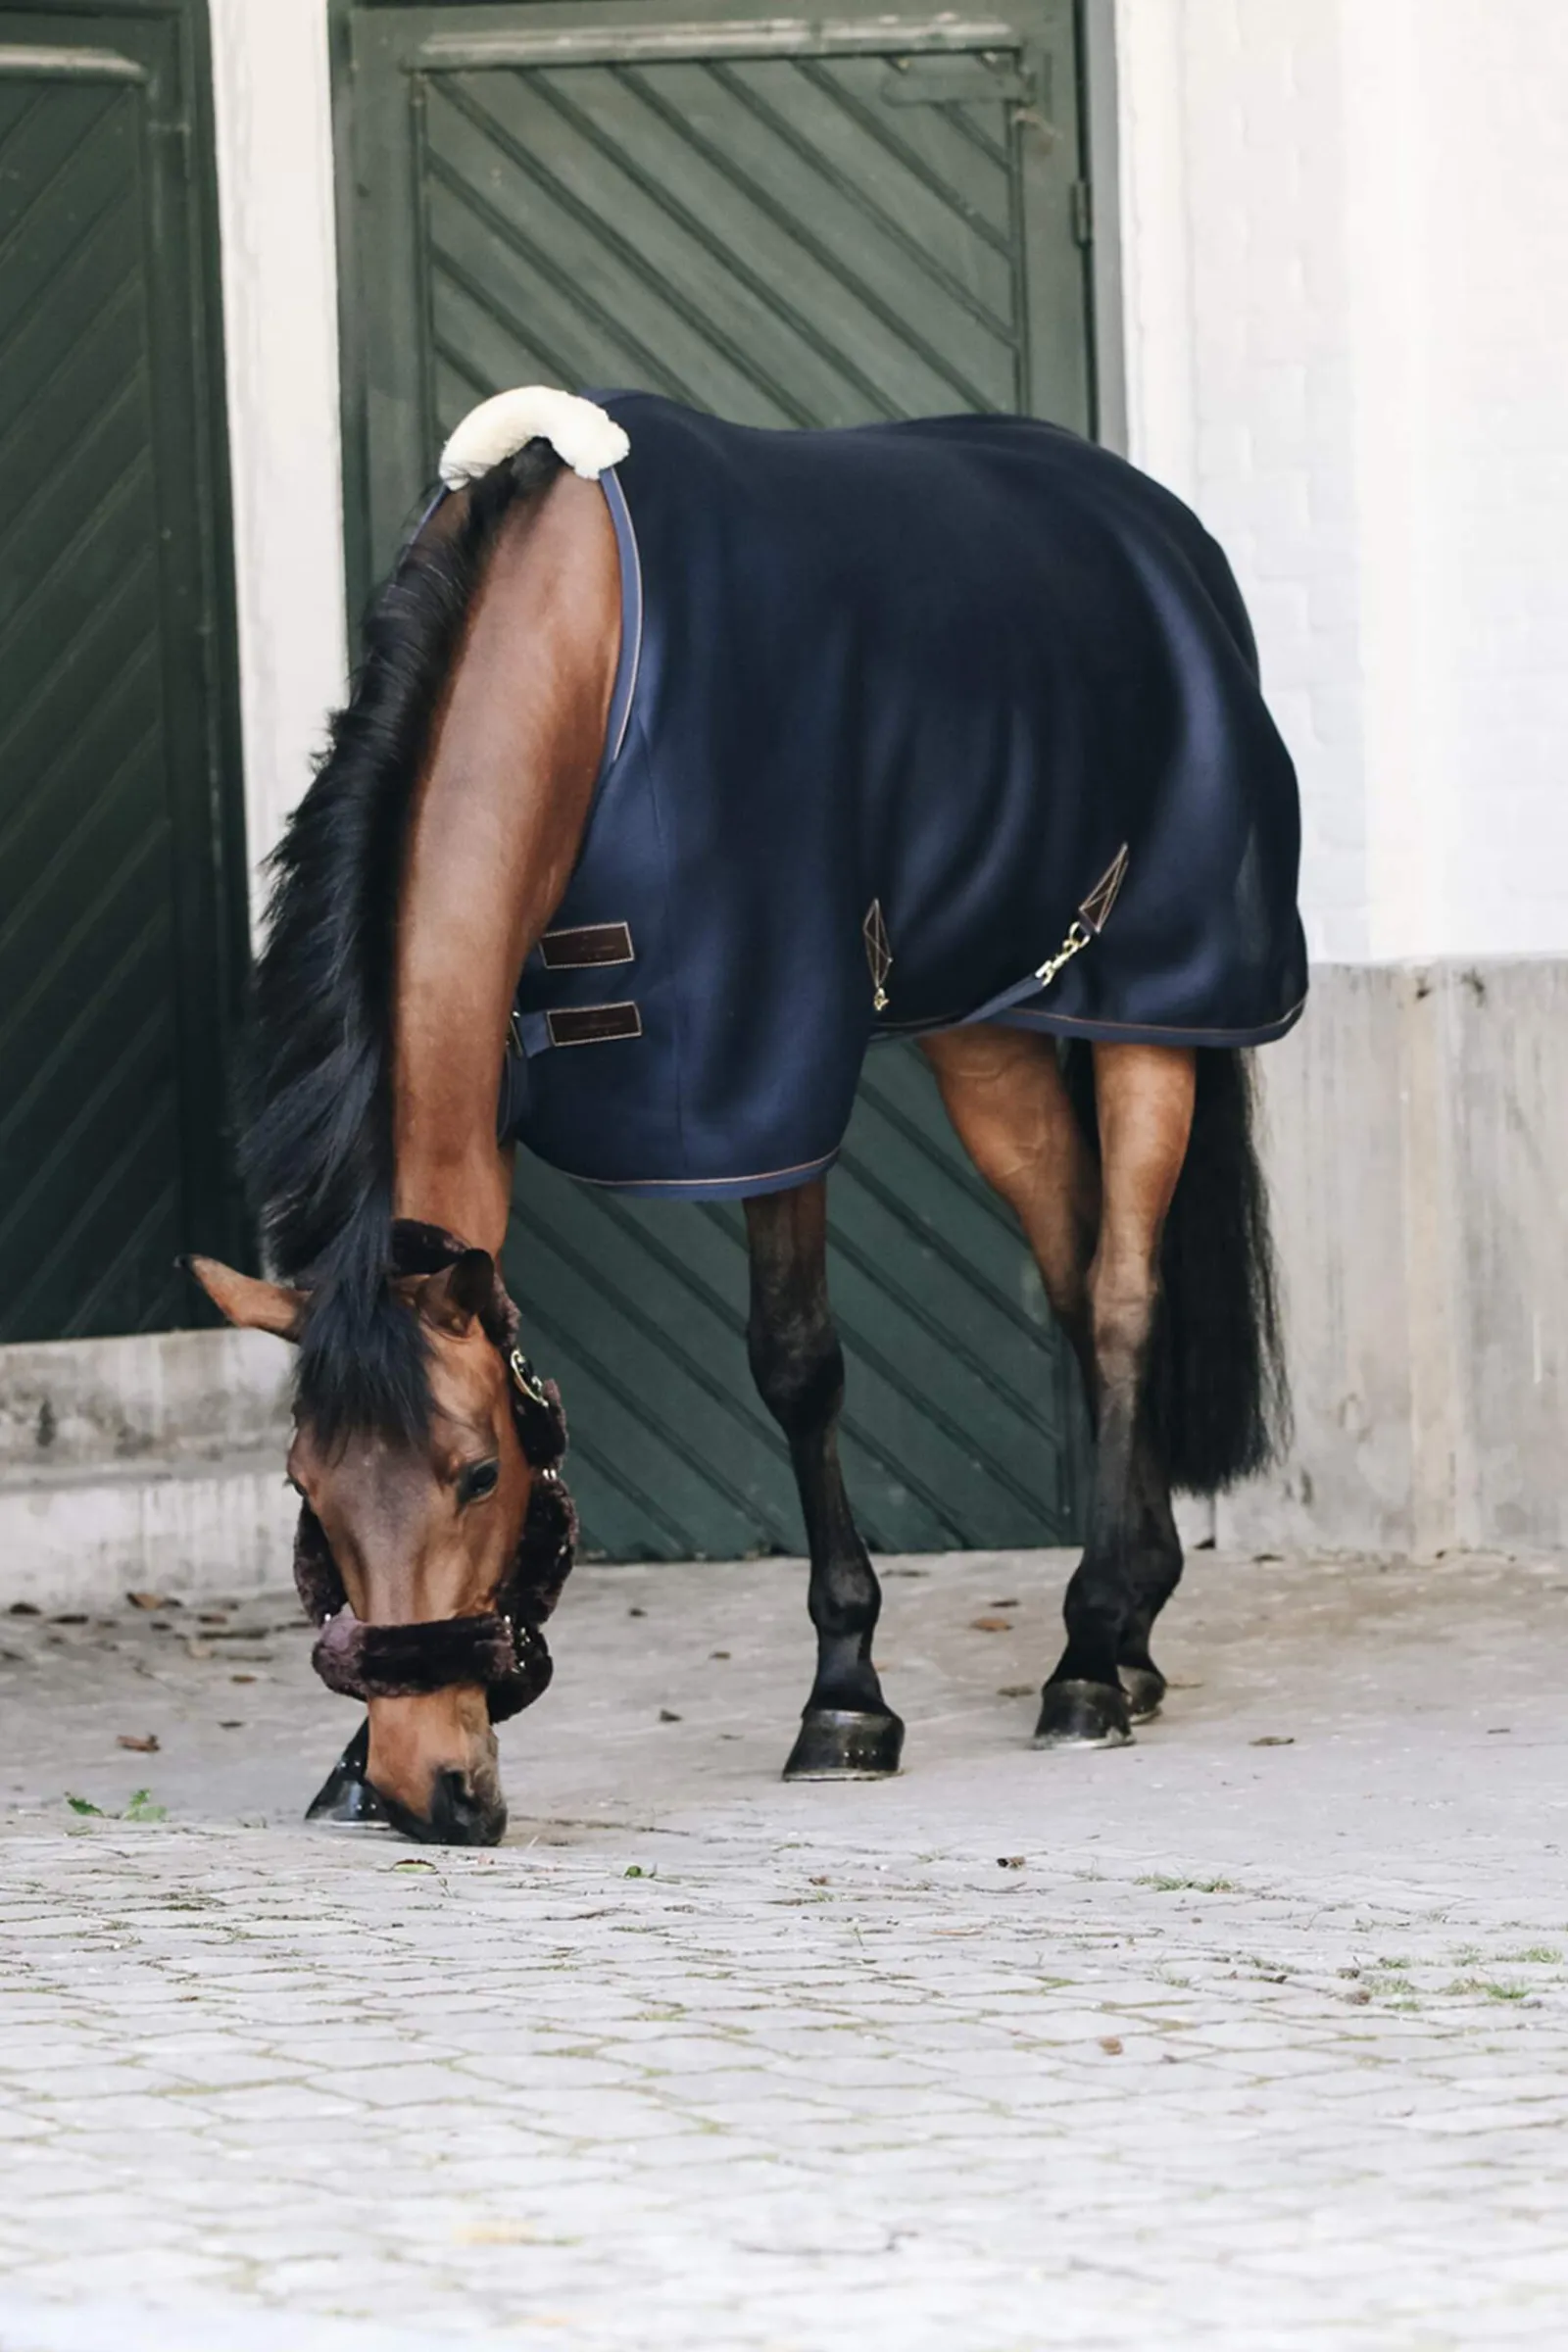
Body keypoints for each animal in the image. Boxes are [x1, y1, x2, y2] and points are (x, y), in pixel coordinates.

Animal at [188, 387, 1302, 1847]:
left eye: (480, 1473)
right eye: (306, 1491)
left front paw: (846, 1698)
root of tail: (1159, 529)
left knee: (1120, 1293)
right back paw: (1131, 1632)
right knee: (1070, 1267)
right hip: (986, 1030)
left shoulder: (769, 1070)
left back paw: (1086, 1657)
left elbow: (796, 1363)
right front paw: (344, 1769)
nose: (430, 1790)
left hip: (1153, 1013)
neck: (589, 656)